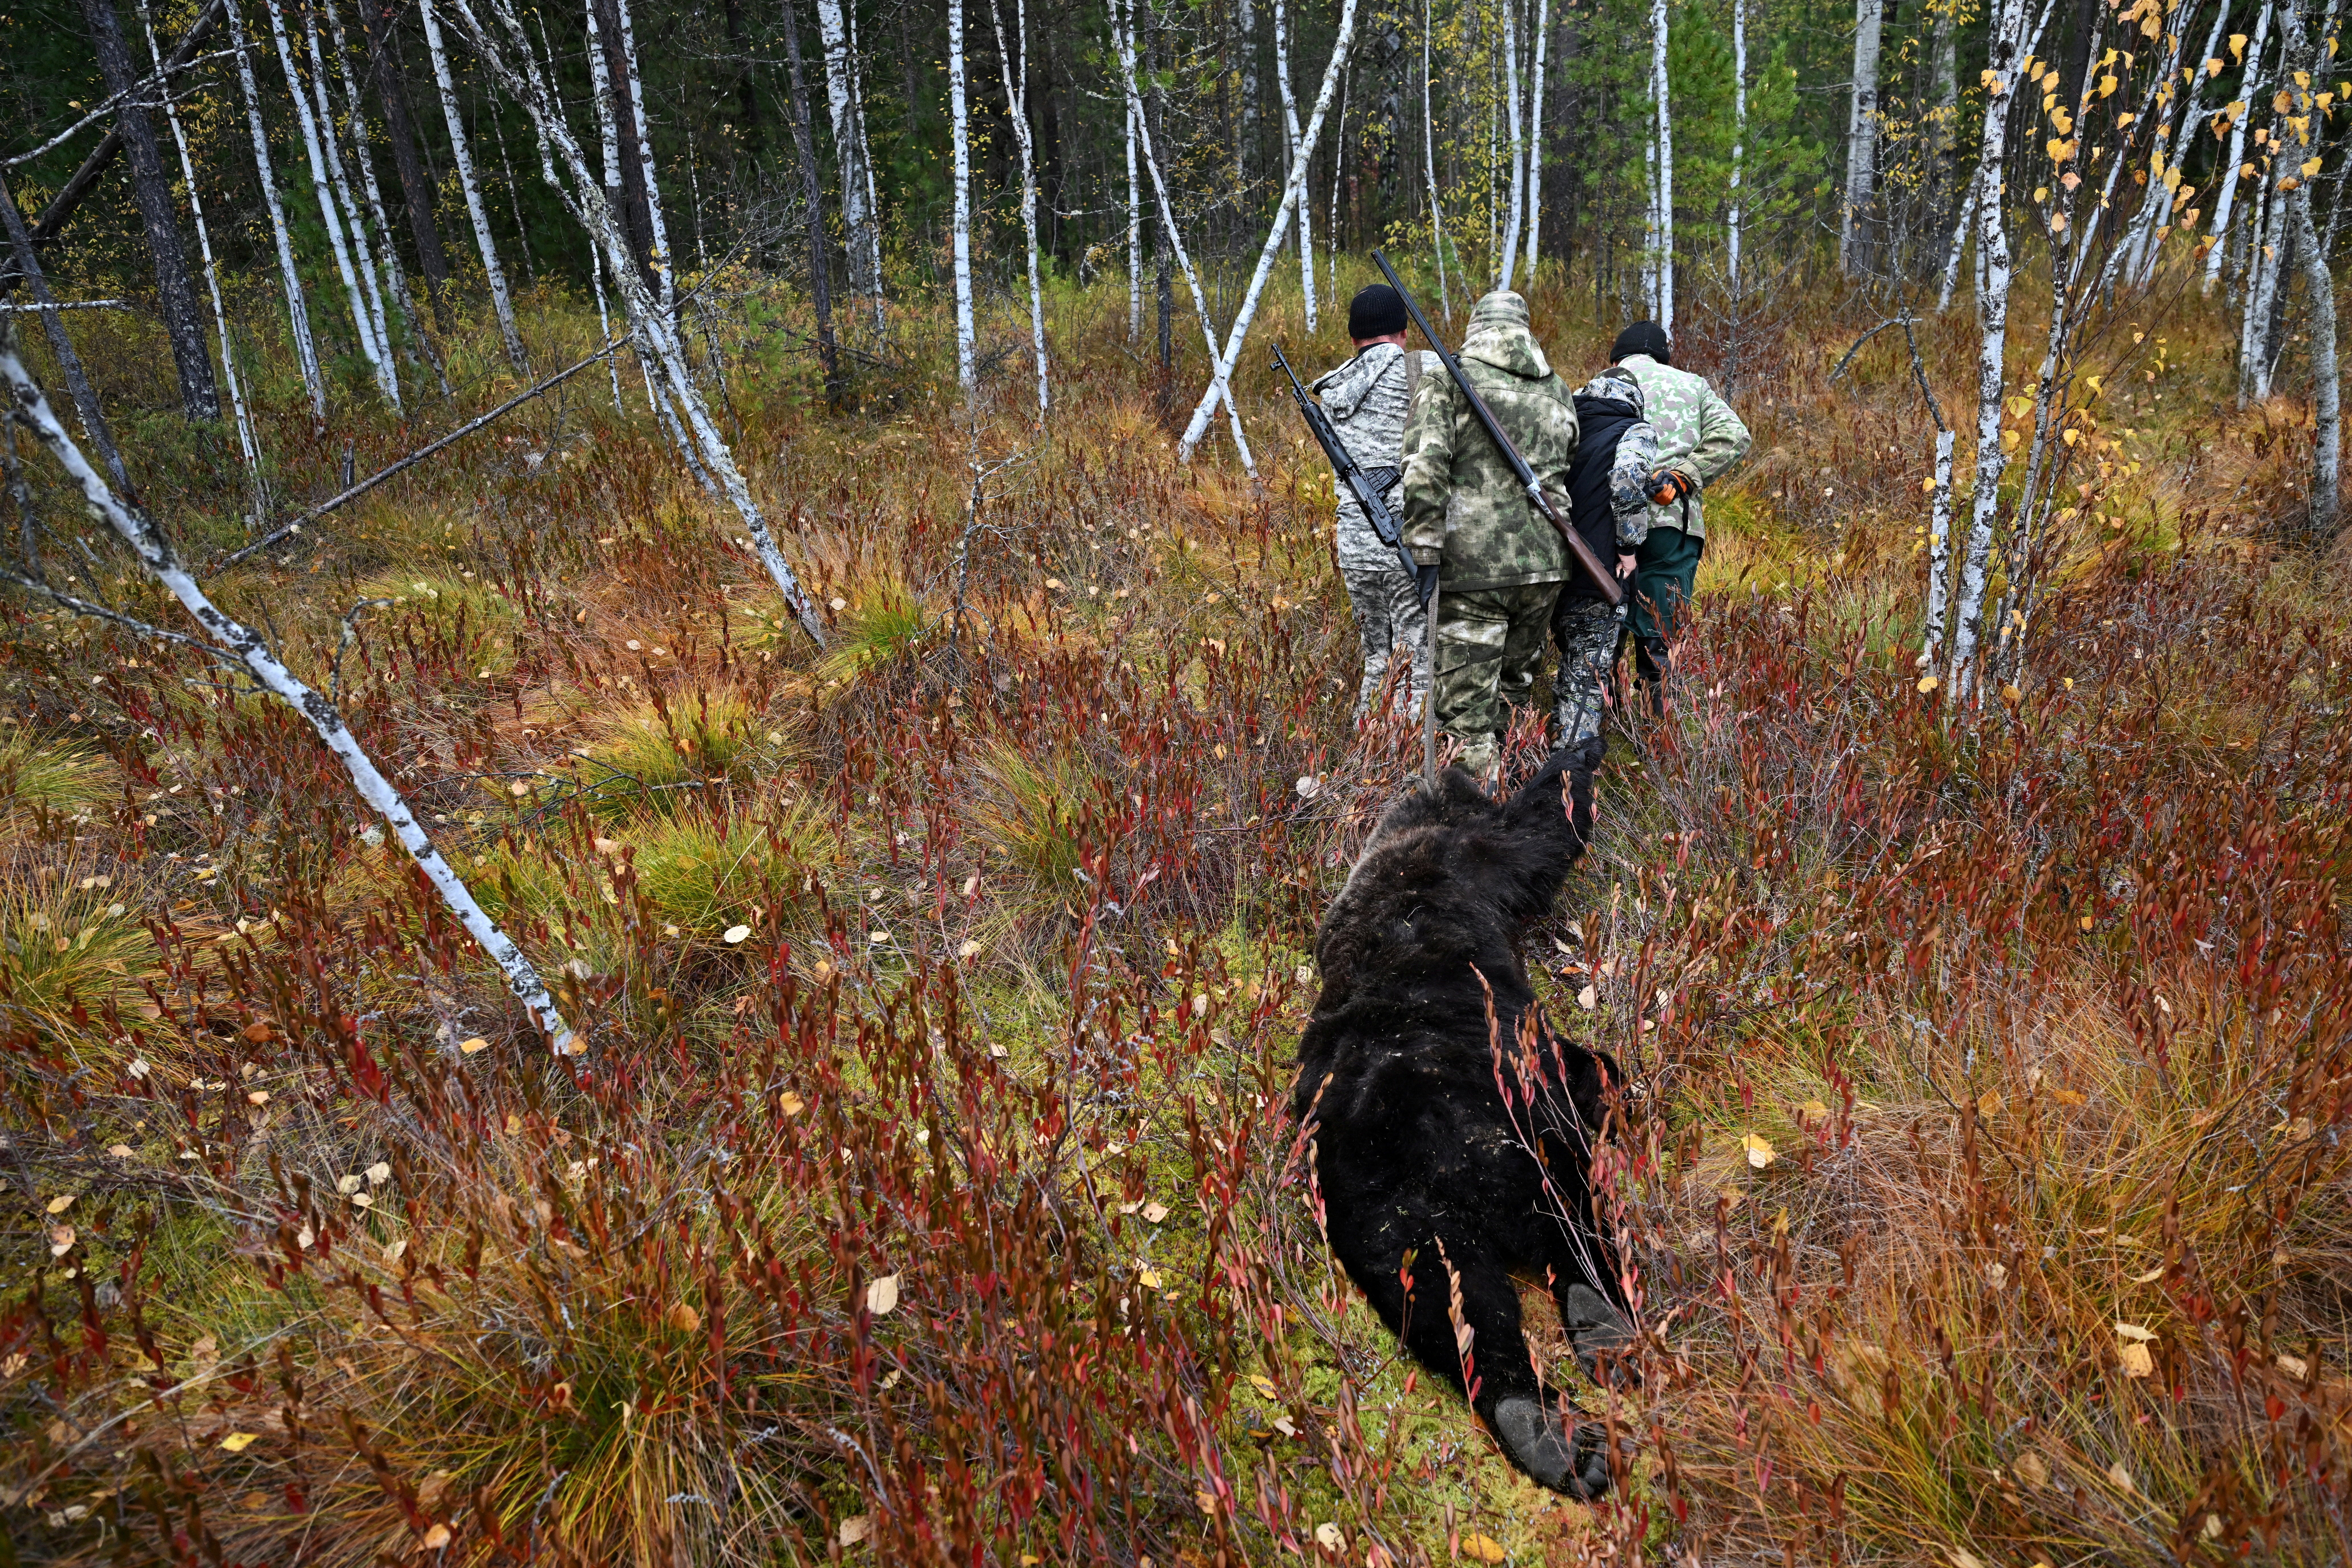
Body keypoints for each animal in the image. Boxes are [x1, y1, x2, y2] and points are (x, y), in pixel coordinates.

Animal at [1292, 748, 1632, 1497]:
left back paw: (1544, 1430)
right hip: (1499, 1126)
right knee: (1561, 1210)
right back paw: (1602, 1318)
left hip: (1379, 1208)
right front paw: (1576, 755)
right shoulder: (1475, 860)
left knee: (1452, 1307)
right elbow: (1547, 830)